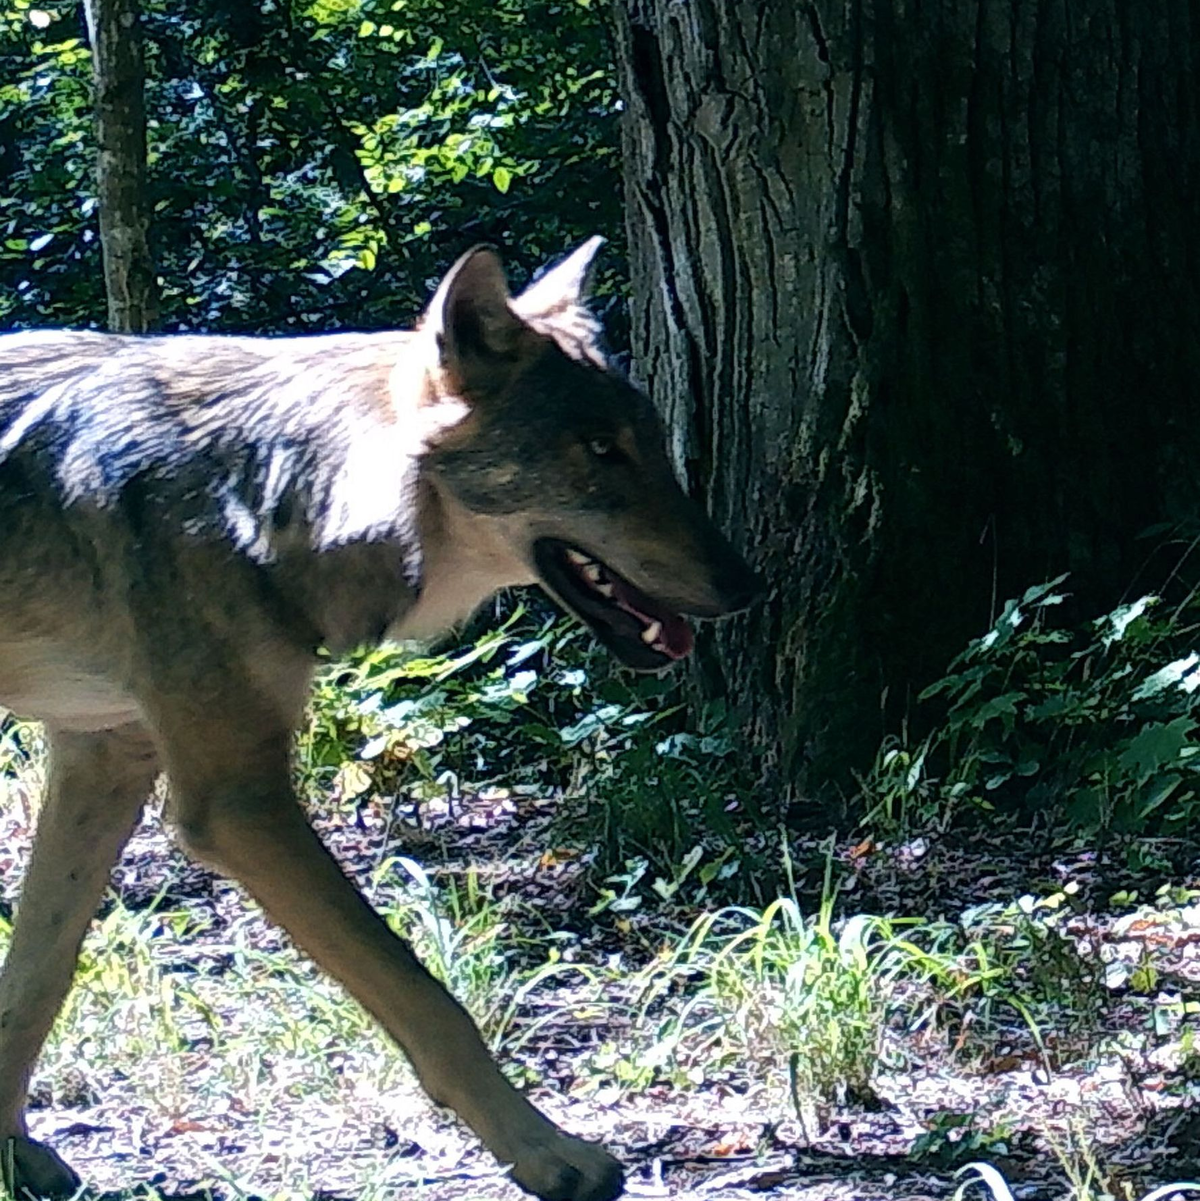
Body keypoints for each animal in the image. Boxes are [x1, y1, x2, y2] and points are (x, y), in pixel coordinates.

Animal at [0, 238, 760, 1201]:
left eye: (652, 446)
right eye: (598, 450)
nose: (750, 583)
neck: (268, 494)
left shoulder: (104, 753)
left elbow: (35, 977)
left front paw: (11, 1152)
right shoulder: (236, 801)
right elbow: (424, 996)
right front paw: (551, 1153)